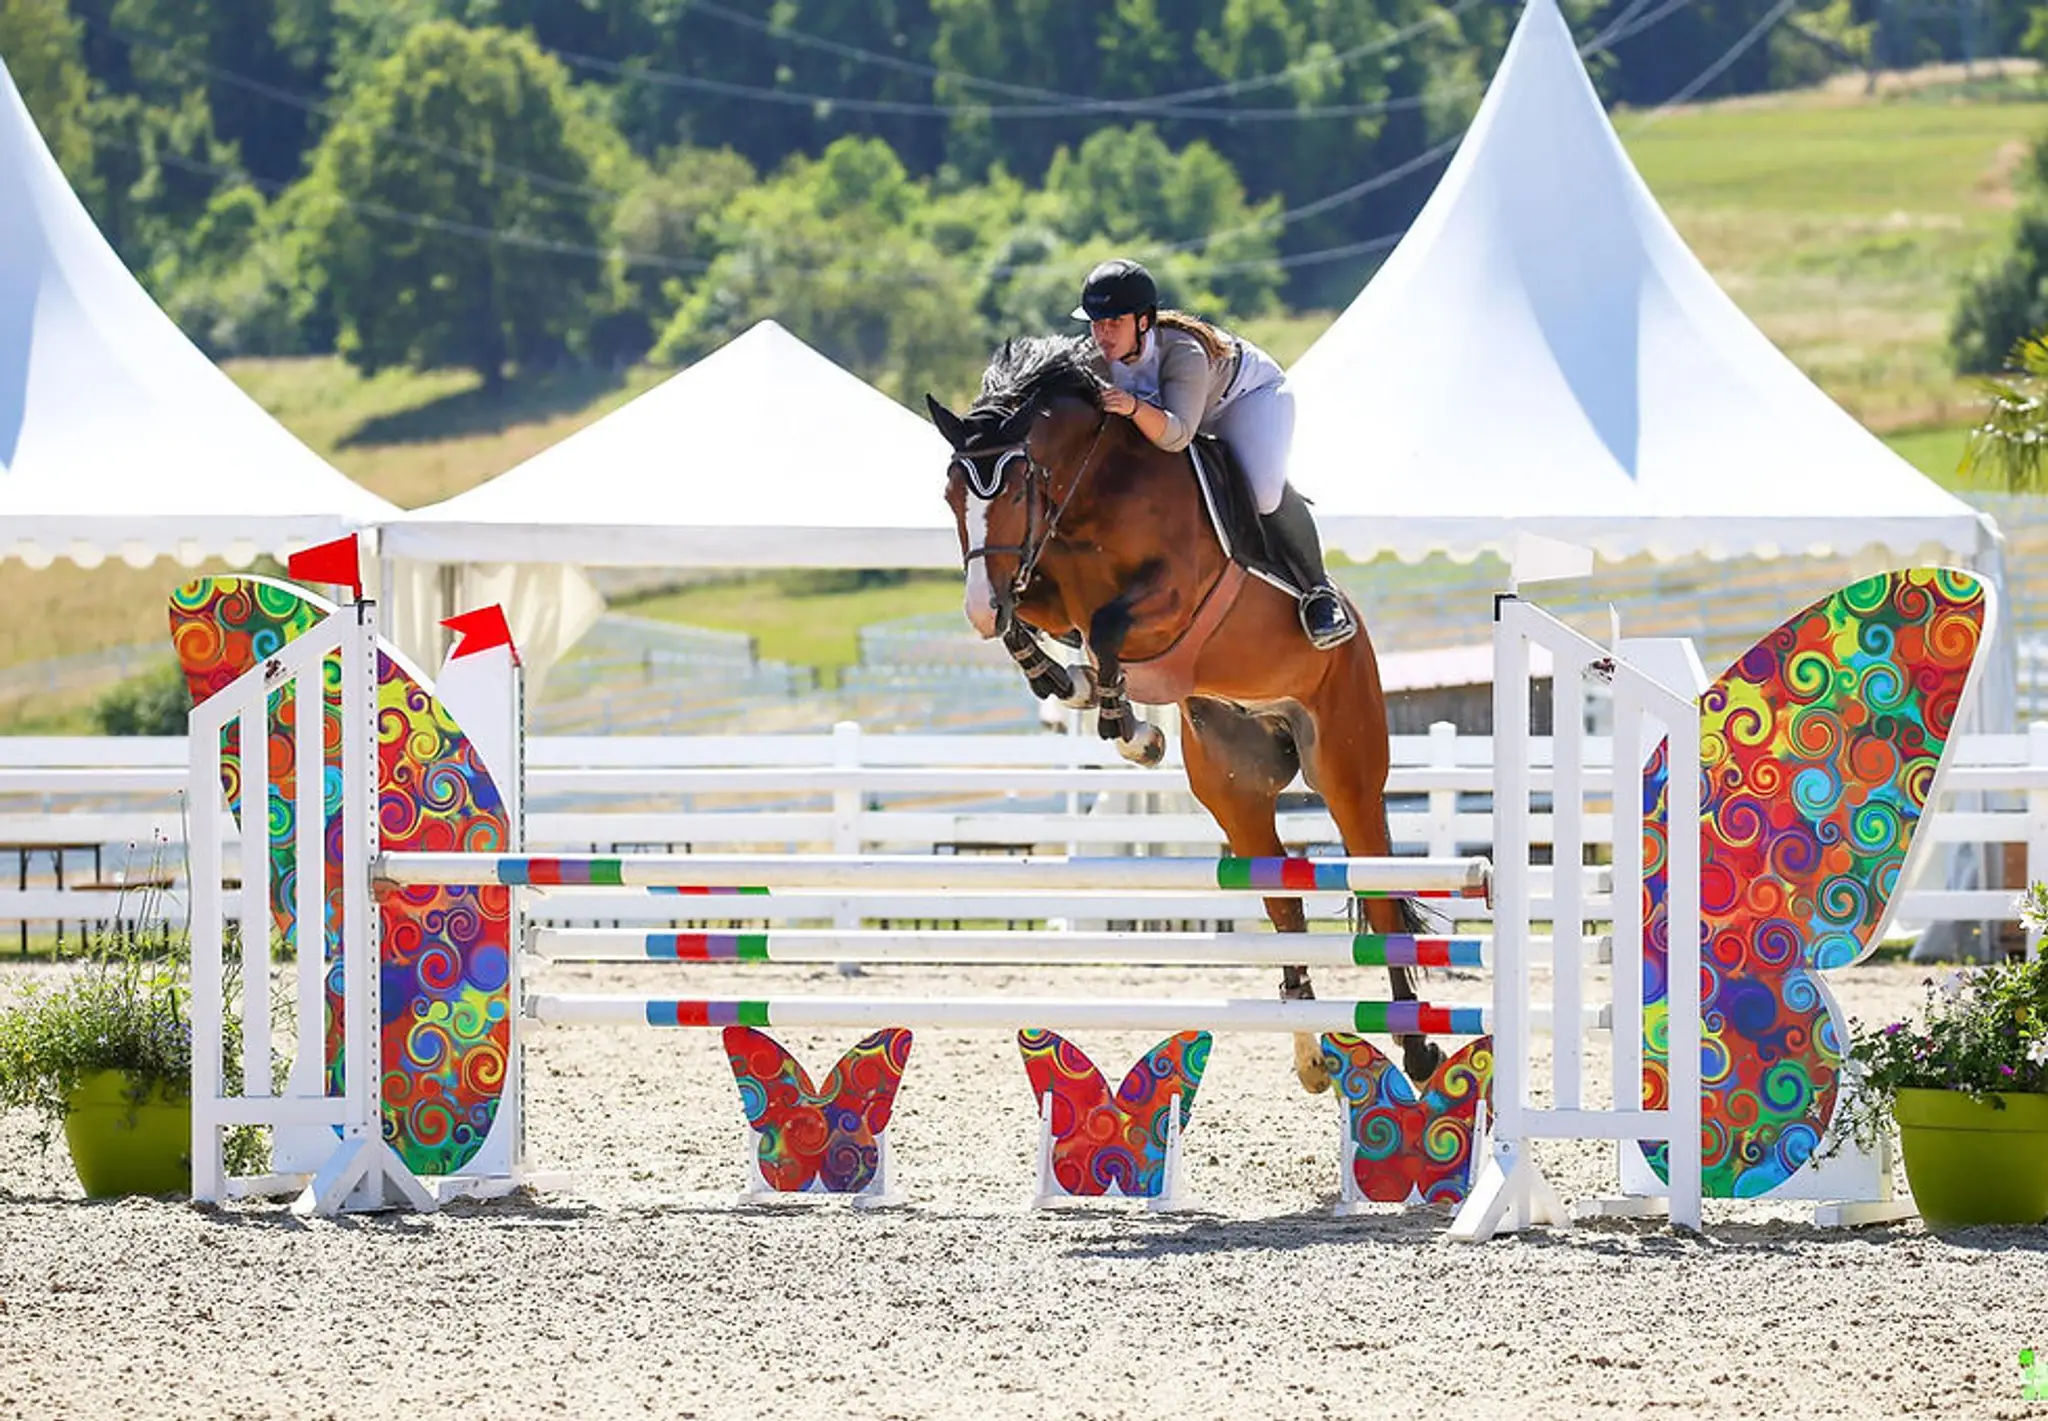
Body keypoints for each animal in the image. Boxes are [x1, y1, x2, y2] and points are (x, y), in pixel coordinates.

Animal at [927, 336, 1444, 1094]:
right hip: (1237, 788)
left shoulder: (1173, 599)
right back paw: (1310, 1052)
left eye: (1017, 487)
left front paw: (1130, 728)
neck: (1091, 493)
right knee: (1282, 896)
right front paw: (1073, 685)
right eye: (951, 493)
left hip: (1347, 767)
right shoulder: (1043, 590)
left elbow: (1108, 626)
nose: (975, 609)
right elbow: (1038, 628)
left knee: (1376, 887)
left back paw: (1417, 1045)